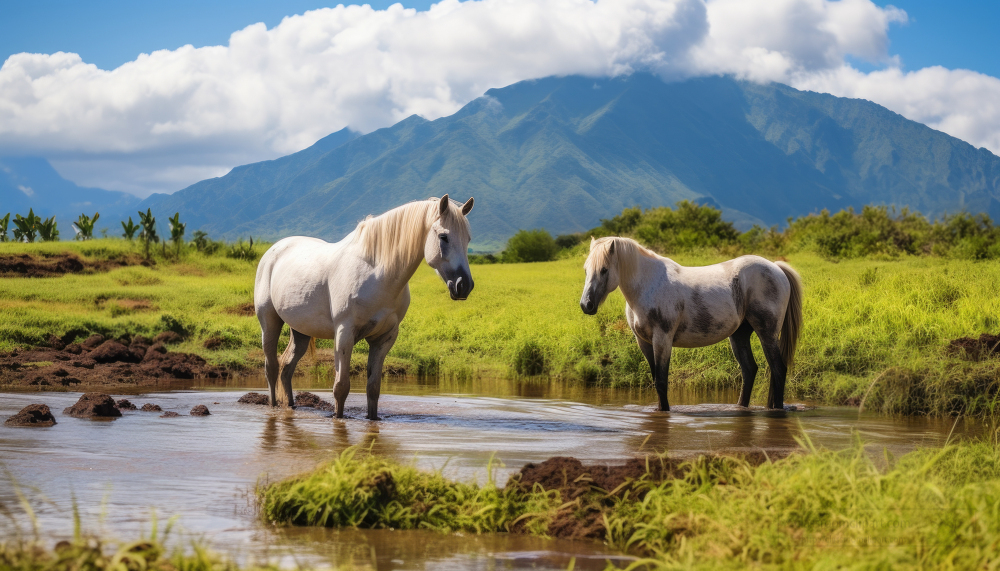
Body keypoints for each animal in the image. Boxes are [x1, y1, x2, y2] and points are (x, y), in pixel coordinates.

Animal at [258, 197, 476, 420]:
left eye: (468, 239)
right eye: (443, 237)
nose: (463, 285)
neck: (376, 273)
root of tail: (275, 249)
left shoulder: (384, 338)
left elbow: (373, 388)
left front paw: (372, 419)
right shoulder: (344, 333)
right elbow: (341, 387)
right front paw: (338, 419)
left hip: (300, 331)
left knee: (286, 367)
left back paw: (291, 405)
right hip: (269, 322)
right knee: (271, 367)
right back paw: (273, 405)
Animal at [580, 237, 804, 412]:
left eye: (604, 270)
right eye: (586, 269)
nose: (586, 305)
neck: (648, 286)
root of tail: (776, 268)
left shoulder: (662, 339)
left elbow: (661, 381)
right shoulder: (644, 342)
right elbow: (655, 378)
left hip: (767, 332)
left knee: (778, 368)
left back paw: (777, 408)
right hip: (739, 335)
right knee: (750, 370)